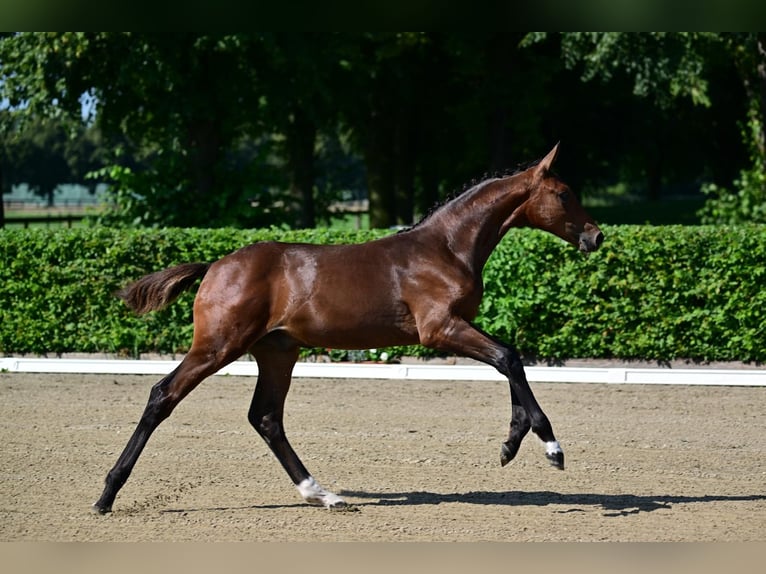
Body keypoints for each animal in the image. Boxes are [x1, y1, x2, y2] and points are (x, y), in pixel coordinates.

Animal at [91, 143, 608, 512]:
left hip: (277, 351)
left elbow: (508, 360)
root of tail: (215, 265)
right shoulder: (439, 328)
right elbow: (509, 358)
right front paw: (547, 447)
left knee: (266, 417)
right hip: (219, 345)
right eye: (563, 194)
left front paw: (512, 443)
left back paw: (323, 494)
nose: (596, 235)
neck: (444, 247)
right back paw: (106, 496)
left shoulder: (459, 325)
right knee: (163, 396)